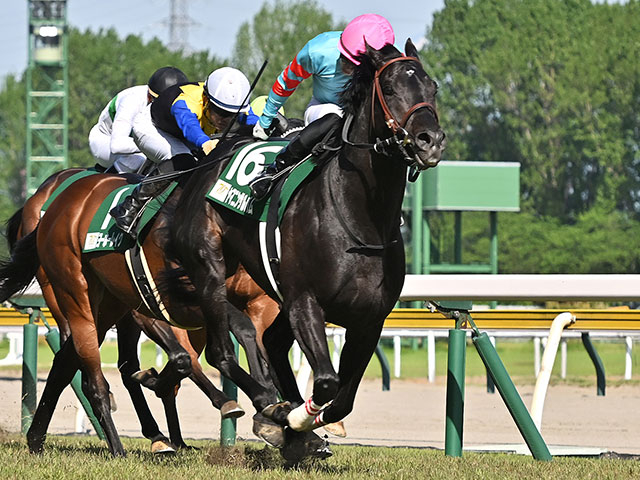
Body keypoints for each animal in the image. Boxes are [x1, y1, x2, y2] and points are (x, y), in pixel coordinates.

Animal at [166, 40, 444, 432]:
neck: (360, 220)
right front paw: (297, 419)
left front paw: (315, 424)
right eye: (389, 89)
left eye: (432, 88)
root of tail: (210, 158)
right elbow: (327, 381)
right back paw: (269, 405)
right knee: (221, 352)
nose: (430, 141)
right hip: (209, 268)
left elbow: (343, 400)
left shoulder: (369, 320)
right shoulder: (305, 302)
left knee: (271, 343)